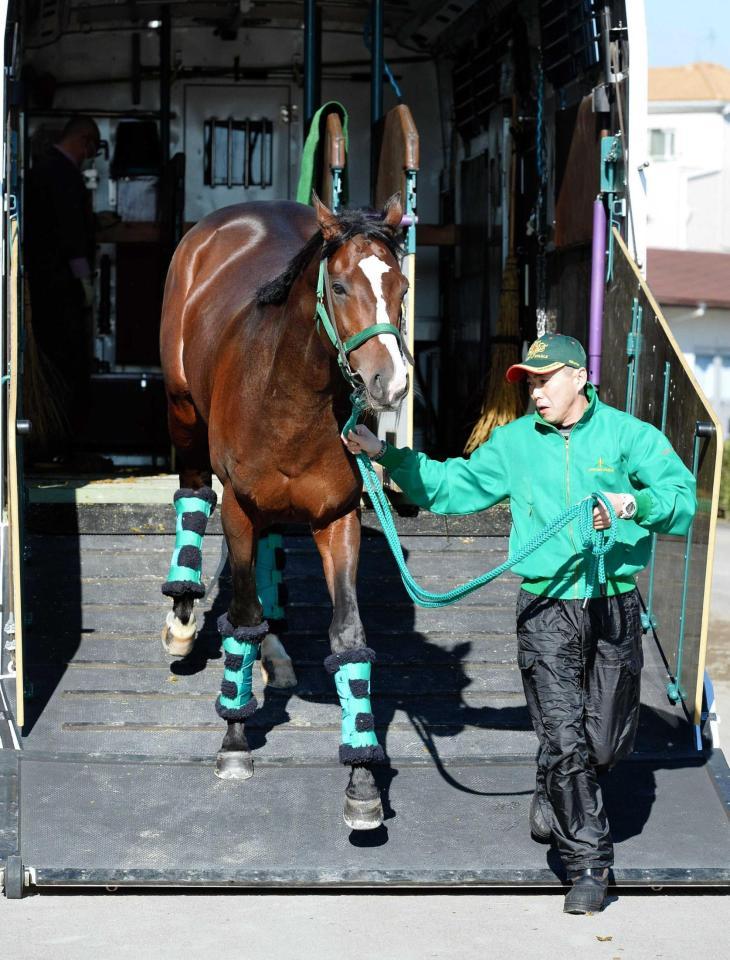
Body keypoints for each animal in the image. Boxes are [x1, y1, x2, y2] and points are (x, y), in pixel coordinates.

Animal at [159, 193, 406, 824]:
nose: (390, 384)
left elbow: (347, 635)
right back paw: (182, 620)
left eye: (402, 286)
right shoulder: (239, 508)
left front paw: (361, 777)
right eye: (339, 287)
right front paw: (234, 739)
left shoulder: (338, 517)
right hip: (183, 412)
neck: (289, 393)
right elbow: (241, 616)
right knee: (192, 496)